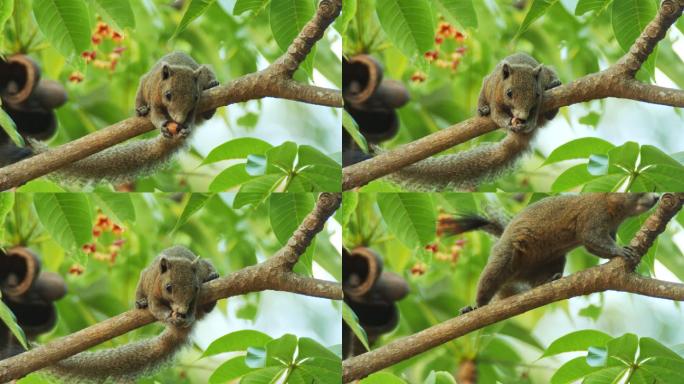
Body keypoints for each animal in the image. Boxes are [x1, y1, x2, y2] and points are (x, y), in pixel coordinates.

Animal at [31, 51, 219, 185]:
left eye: (195, 97)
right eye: (168, 95)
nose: (178, 120)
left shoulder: (194, 108)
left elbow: (191, 117)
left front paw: (186, 126)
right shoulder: (154, 95)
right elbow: (156, 116)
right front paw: (163, 125)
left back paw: (212, 88)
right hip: (143, 84)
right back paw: (142, 110)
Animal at [44, 246, 219, 380]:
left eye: (195, 288)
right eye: (168, 287)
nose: (181, 310)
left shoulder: (196, 298)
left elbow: (193, 309)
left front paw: (186, 316)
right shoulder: (153, 289)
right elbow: (156, 308)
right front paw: (168, 315)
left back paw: (212, 278)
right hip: (143, 280)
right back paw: (141, 303)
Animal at [384, 53, 560, 191]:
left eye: (537, 94)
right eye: (509, 93)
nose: (522, 116)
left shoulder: (538, 104)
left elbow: (533, 117)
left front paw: (527, 122)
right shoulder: (494, 93)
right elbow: (497, 116)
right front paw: (506, 121)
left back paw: (554, 86)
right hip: (486, 86)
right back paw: (483, 110)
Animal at [438, 194, 656, 314]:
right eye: (638, 191)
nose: (656, 197)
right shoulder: (593, 216)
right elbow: (592, 241)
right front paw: (620, 251)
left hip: (554, 260)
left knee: (537, 281)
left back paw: (549, 280)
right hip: (505, 258)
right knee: (490, 278)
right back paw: (476, 306)